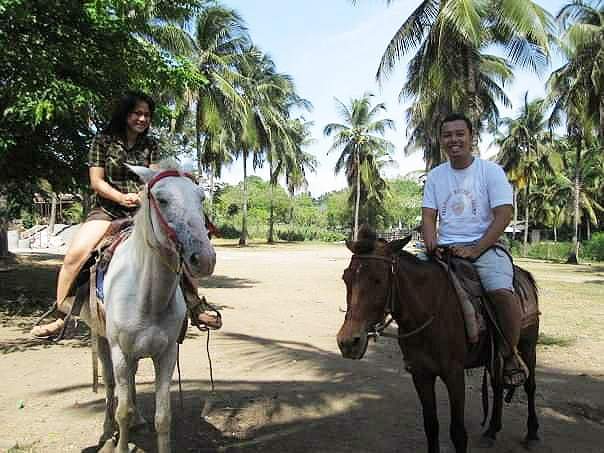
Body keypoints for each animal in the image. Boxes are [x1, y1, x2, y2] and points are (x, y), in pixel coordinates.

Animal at [81, 162, 215, 452]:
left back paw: (138, 420)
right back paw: (107, 432)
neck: (149, 299)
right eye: (162, 200)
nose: (205, 259)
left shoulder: (166, 354)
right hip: (101, 339)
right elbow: (121, 410)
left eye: (201, 198)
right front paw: (120, 442)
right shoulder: (120, 352)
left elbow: (163, 418)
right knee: (110, 385)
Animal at [338, 228, 540, 450]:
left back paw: (532, 433)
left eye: (378, 279)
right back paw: (492, 431)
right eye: (346, 278)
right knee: (497, 385)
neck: (428, 311)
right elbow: (431, 425)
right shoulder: (421, 374)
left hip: (528, 345)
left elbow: (458, 433)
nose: (348, 342)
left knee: (530, 386)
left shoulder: (454, 375)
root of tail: (524, 275)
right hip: (494, 356)